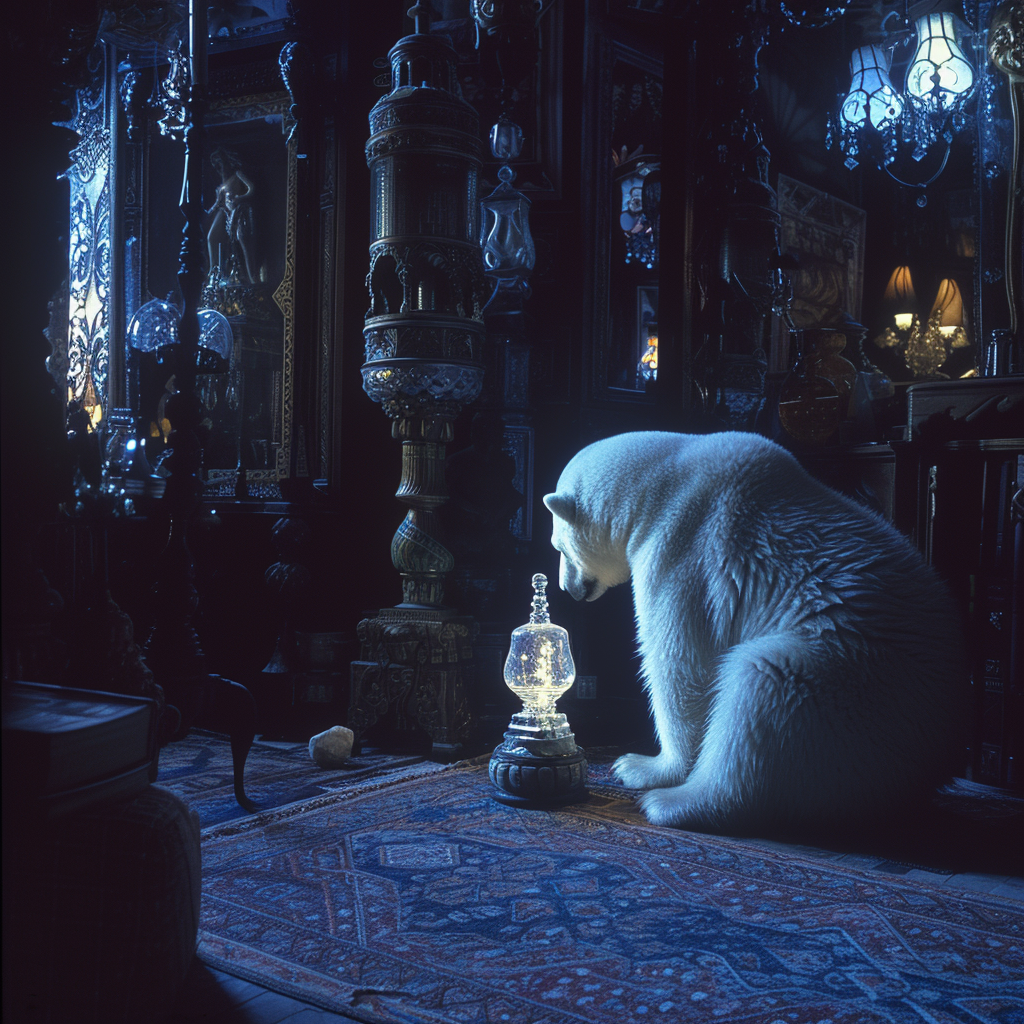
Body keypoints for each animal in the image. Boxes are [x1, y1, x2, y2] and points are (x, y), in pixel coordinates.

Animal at [544, 428, 966, 835]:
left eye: (558, 546)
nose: (566, 587)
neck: (661, 484)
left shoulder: (681, 551)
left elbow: (680, 664)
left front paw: (644, 766)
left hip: (850, 680)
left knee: (761, 687)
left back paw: (673, 802)